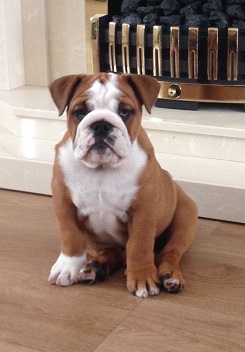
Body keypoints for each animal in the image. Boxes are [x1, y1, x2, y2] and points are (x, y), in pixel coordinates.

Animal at [48, 72, 198, 296]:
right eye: (80, 112)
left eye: (125, 112)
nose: (101, 124)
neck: (102, 169)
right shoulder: (62, 200)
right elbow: (70, 234)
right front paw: (67, 266)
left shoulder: (143, 209)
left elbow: (139, 245)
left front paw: (142, 276)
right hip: (96, 244)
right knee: (117, 252)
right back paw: (97, 267)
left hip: (185, 218)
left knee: (169, 251)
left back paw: (170, 275)